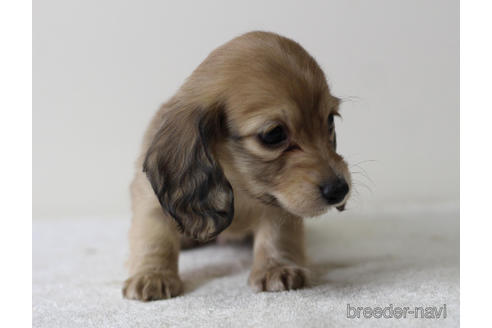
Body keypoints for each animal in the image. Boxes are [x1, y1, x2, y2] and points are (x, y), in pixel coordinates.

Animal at [125, 32, 352, 302]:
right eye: (273, 134)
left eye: (330, 120)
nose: (340, 190)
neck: (239, 183)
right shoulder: (148, 198)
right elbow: (154, 237)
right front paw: (152, 275)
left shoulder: (279, 202)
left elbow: (277, 234)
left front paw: (277, 267)